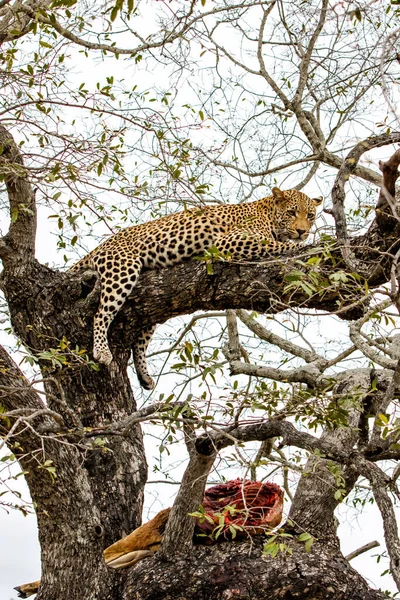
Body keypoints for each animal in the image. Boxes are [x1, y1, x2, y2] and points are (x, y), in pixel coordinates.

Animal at [70, 190, 324, 392]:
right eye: (292, 213)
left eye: (310, 215)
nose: (302, 231)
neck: (269, 214)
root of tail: (100, 246)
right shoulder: (229, 240)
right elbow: (277, 244)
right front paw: (309, 244)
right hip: (123, 268)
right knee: (101, 313)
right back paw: (102, 351)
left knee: (140, 340)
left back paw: (145, 377)